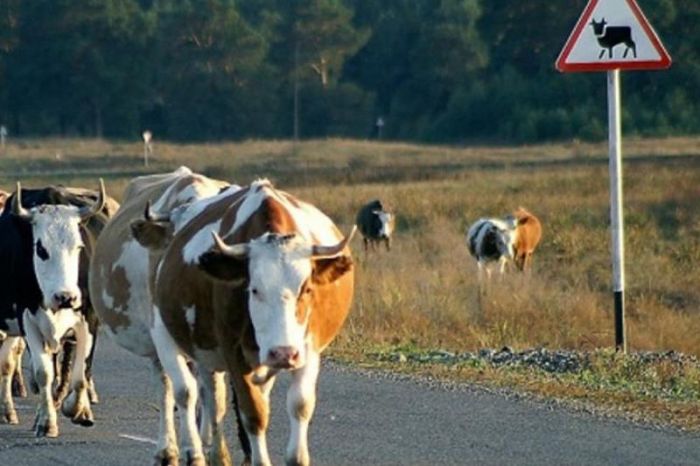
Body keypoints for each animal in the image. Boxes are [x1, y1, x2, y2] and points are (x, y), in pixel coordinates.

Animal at [0, 182, 117, 436]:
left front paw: (77, 409)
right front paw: (47, 422)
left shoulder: (88, 319)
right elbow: (43, 373)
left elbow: (80, 374)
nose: (65, 297)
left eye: (79, 246)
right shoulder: (27, 319)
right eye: (40, 249)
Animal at [87, 166, 230, 464]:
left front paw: (214, 450)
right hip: (154, 343)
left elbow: (216, 394)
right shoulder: (161, 332)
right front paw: (193, 451)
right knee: (165, 386)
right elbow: (184, 390)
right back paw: (168, 448)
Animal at [133, 178, 356, 466]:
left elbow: (300, 405)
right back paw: (195, 451)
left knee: (212, 396)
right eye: (254, 289)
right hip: (170, 334)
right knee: (187, 392)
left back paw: (217, 453)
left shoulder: (309, 348)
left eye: (306, 289)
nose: (283, 353)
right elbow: (253, 413)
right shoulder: (232, 352)